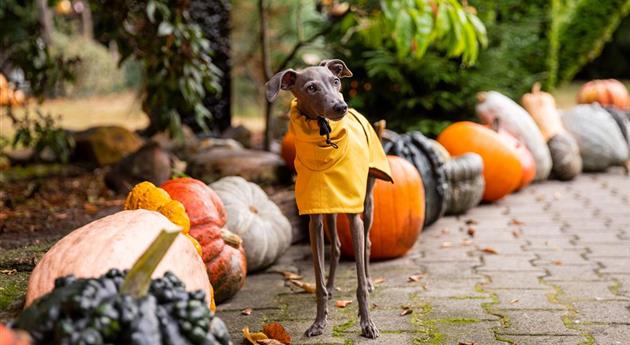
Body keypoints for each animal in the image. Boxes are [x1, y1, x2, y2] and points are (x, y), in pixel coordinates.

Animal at [266, 59, 396, 338]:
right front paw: (318, 322)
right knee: (335, 247)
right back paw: (333, 283)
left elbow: (359, 280)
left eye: (336, 81)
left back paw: (370, 280)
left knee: (367, 244)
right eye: (311, 87)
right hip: (331, 213)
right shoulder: (314, 221)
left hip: (367, 203)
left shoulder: (354, 216)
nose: (340, 107)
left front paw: (367, 324)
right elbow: (318, 279)